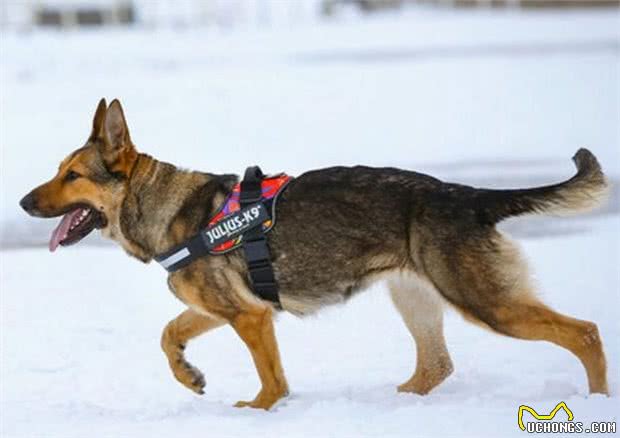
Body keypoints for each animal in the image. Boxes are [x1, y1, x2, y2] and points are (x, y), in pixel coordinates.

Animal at [19, 100, 612, 410]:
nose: (23, 203)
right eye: (57, 170)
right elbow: (169, 335)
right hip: (416, 297)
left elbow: (272, 380)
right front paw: (190, 376)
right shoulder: (226, 307)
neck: (160, 203)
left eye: (72, 176)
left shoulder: (251, 318)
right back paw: (396, 403)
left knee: (584, 332)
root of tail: (465, 194)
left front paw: (259, 412)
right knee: (436, 365)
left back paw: (599, 401)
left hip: (485, 302)